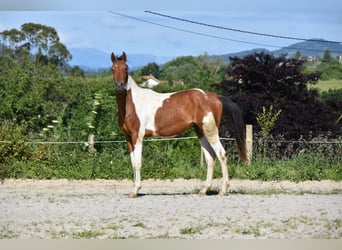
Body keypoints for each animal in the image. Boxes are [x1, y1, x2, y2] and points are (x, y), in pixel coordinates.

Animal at [109, 52, 246, 197]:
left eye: (126, 68)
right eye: (112, 69)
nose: (119, 85)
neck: (132, 104)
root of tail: (215, 97)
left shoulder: (138, 136)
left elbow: (138, 162)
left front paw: (136, 190)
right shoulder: (129, 138)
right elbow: (133, 163)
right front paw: (134, 189)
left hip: (211, 131)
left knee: (221, 155)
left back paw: (223, 190)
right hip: (201, 132)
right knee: (210, 158)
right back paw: (204, 190)